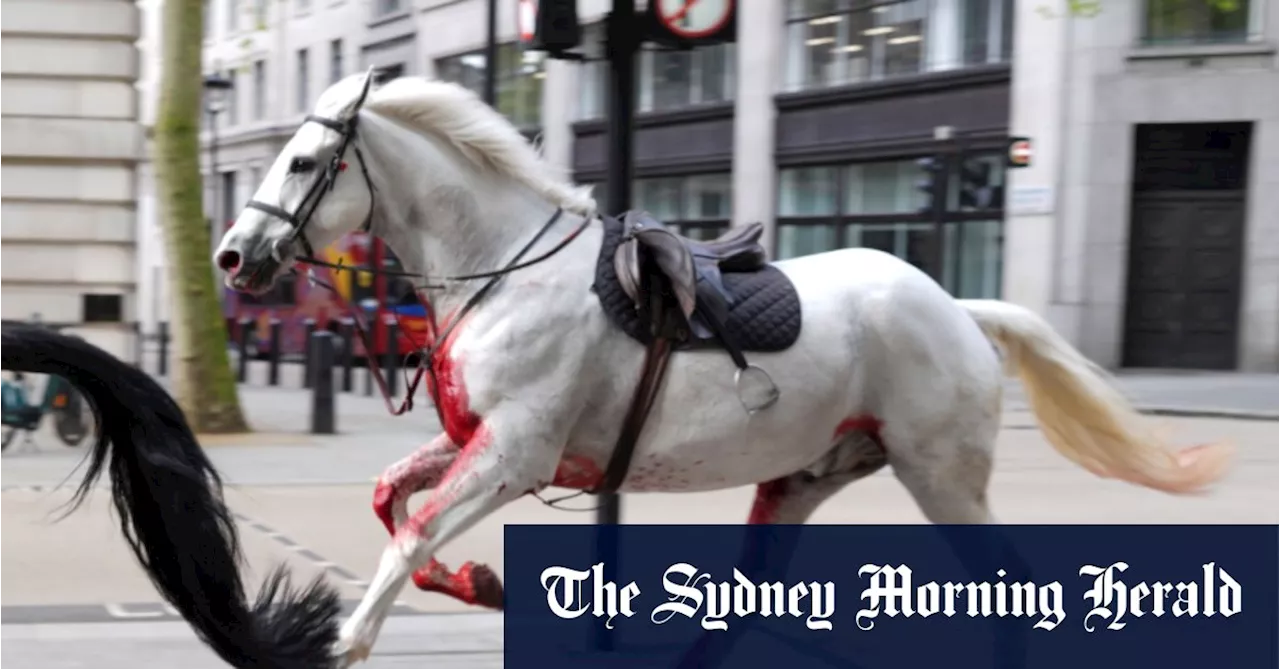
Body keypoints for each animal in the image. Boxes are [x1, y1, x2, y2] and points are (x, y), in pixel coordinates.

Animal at [212, 70, 1228, 665]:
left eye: (304, 160)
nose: (231, 255)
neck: (502, 269)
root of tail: (957, 309)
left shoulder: (514, 453)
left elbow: (412, 534)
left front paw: (348, 639)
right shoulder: (482, 441)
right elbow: (392, 499)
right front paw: (478, 584)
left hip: (938, 472)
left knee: (1006, 589)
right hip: (806, 476)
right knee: (752, 593)